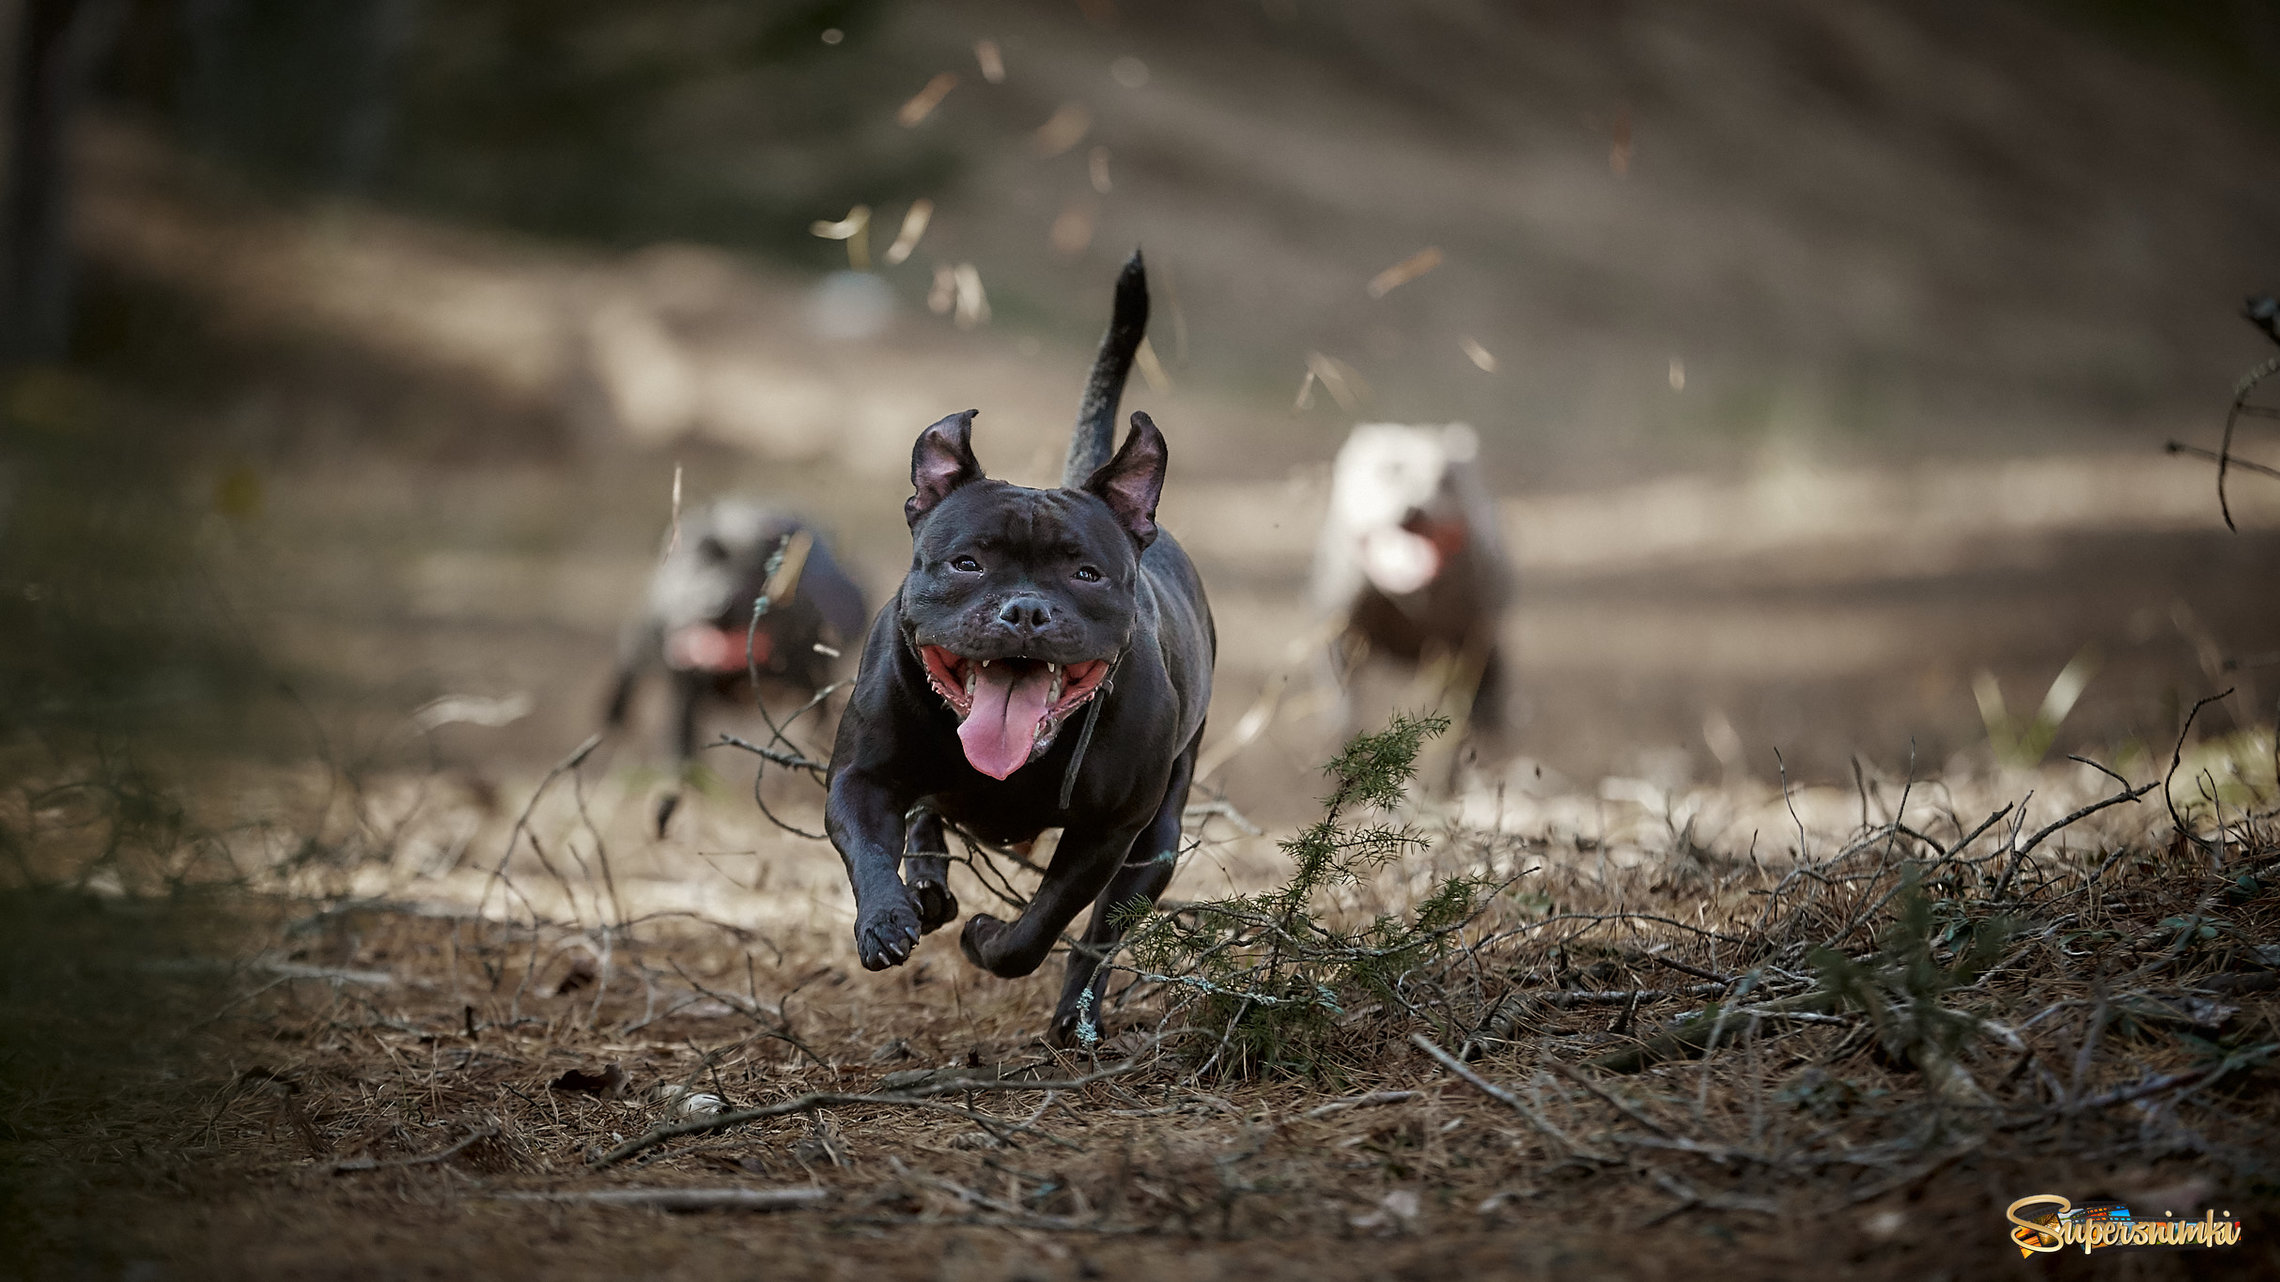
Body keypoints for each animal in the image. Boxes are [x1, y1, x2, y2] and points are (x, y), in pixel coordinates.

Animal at [820, 254, 1212, 1044]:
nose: (1026, 609)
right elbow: (871, 849)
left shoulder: (1108, 833)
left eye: (1086, 573)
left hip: (1157, 840)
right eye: (967, 563)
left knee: (1100, 934)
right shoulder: (858, 778)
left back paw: (1076, 1018)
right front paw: (886, 919)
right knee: (926, 814)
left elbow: (1047, 920)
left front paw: (988, 941)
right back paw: (927, 885)